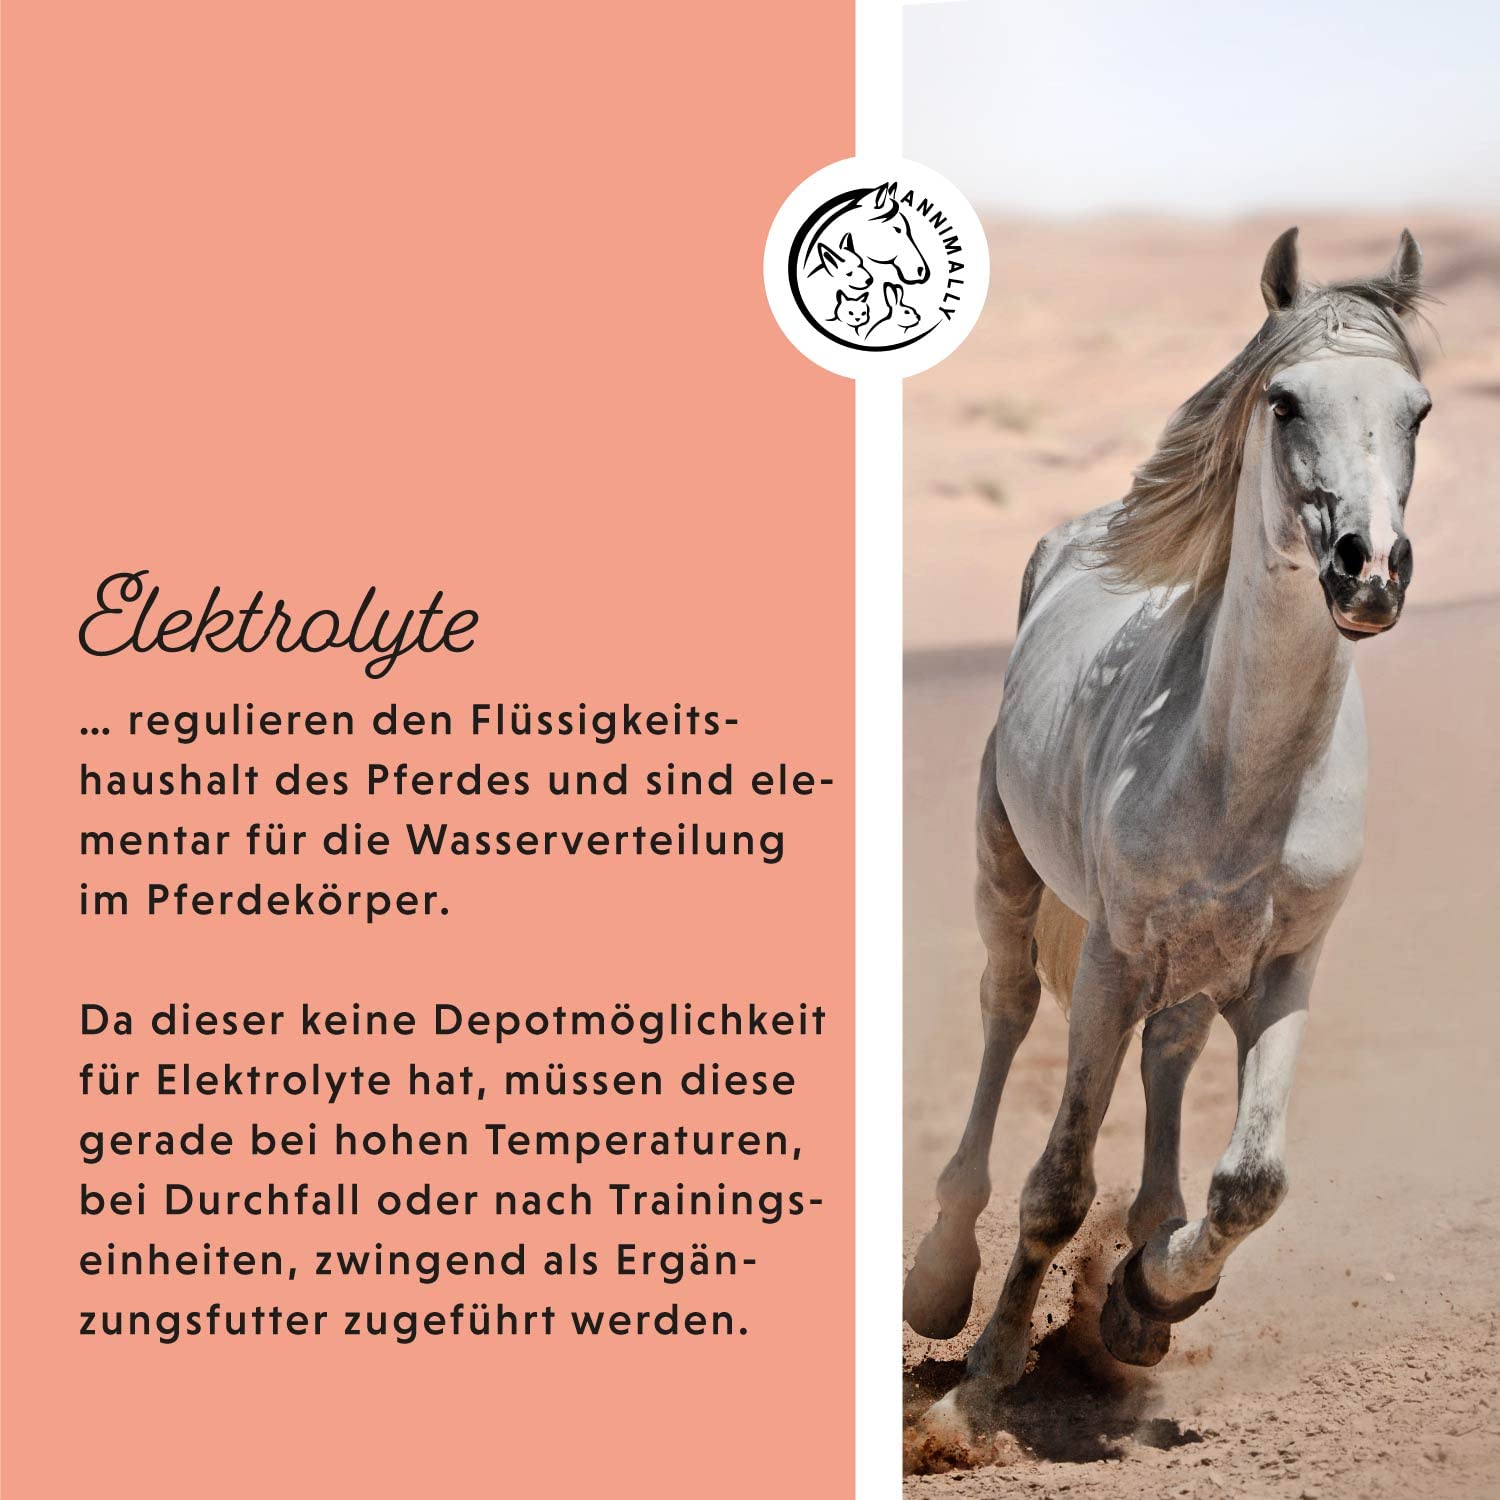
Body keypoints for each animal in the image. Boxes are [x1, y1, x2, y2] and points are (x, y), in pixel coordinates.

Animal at [904, 227, 1431, 1440]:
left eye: (1418, 410)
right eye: (1284, 400)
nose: (1368, 570)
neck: (1240, 769)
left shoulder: (1285, 966)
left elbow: (1253, 1182)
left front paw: (1149, 1296)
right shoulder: (1111, 955)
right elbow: (1057, 1184)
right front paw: (977, 1393)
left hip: (1198, 966)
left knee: (1171, 1055)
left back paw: (1146, 1262)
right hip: (1009, 878)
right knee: (1008, 1015)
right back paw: (940, 1279)